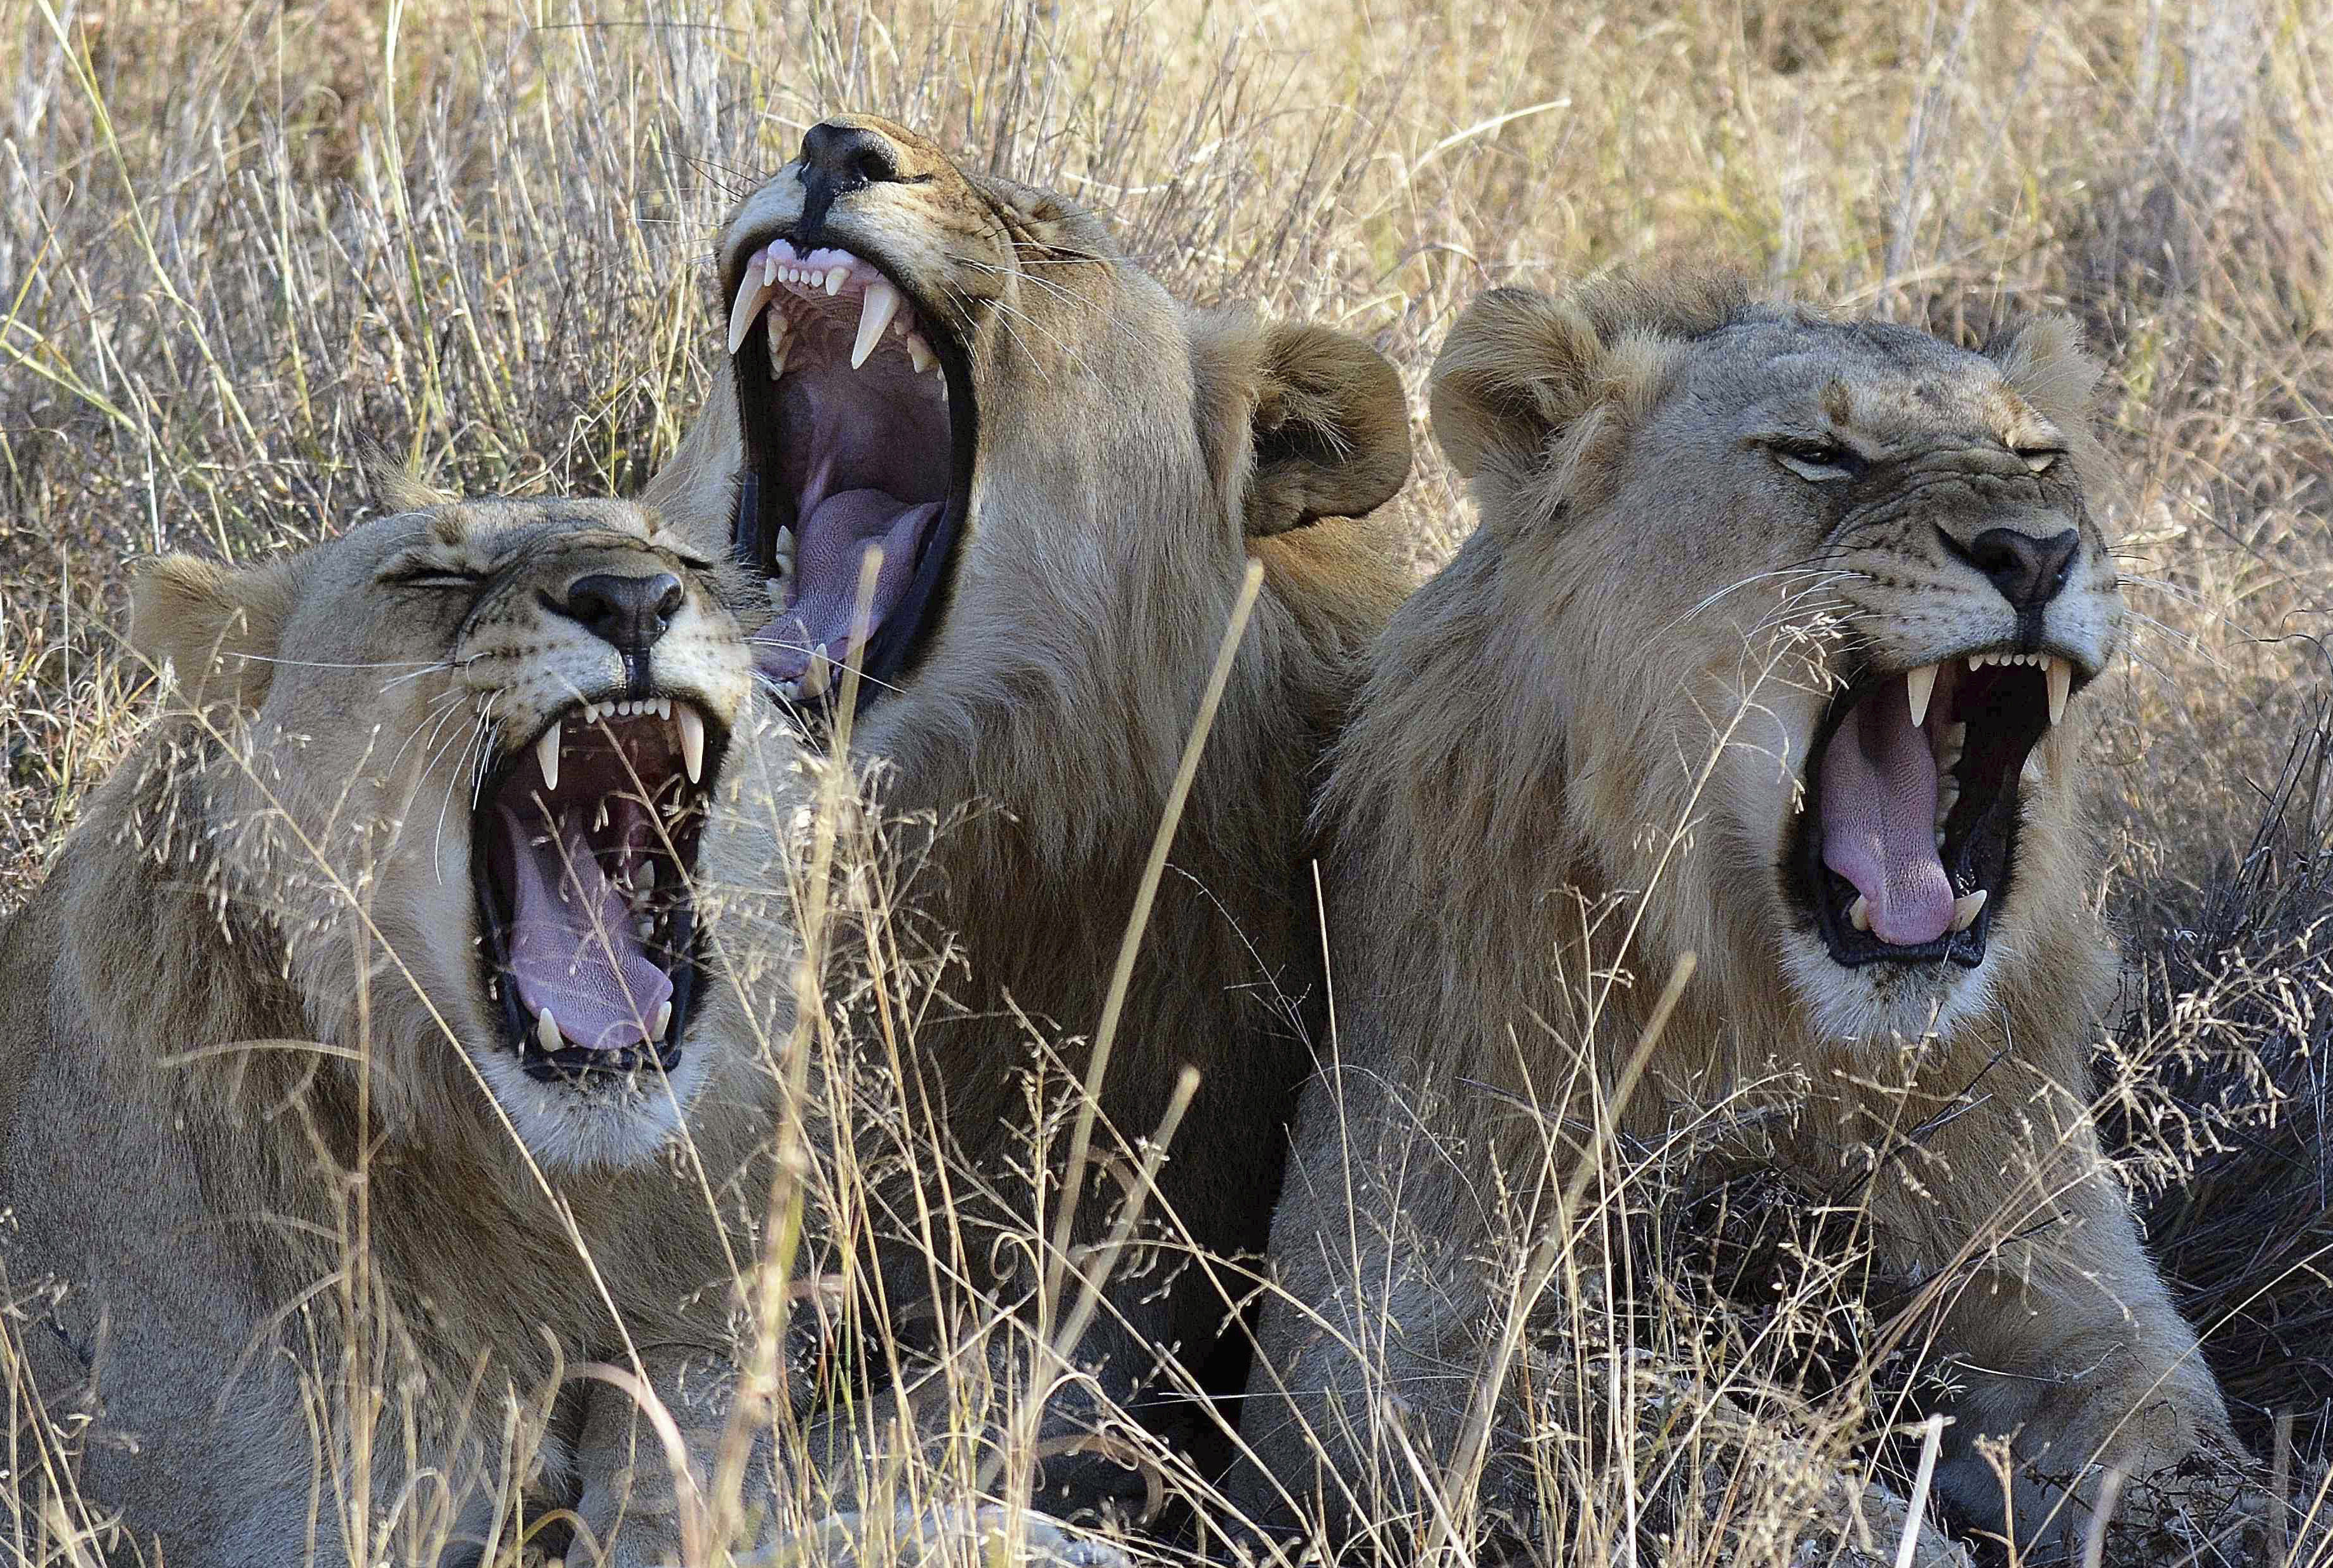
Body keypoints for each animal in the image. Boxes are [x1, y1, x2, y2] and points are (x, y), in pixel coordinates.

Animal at [1241, 278, 2258, 1558]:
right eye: (1817, 455)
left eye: (2041, 456)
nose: (2036, 550)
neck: (1782, 1016)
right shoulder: (1366, 1340)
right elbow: (1702, 1448)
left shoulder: (2071, 1289)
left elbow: (2185, 1452)